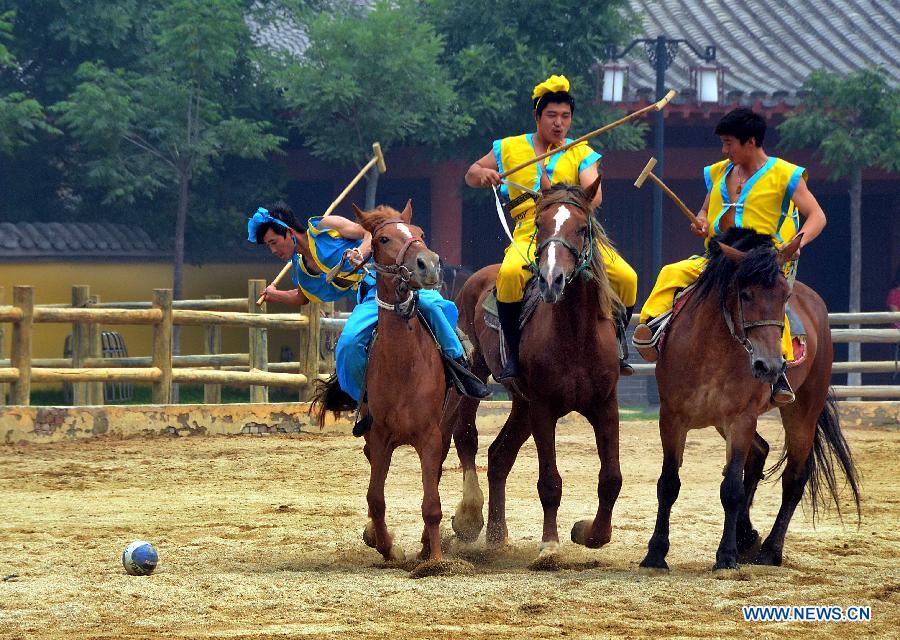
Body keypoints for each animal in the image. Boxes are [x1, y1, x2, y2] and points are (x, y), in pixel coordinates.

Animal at [448, 178, 624, 564]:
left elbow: (611, 479)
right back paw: (469, 515)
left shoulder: (606, 405)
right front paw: (549, 544)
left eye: (580, 228)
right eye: (540, 225)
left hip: (522, 404)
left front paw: (590, 533)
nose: (551, 279)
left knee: (499, 457)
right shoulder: (544, 408)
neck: (576, 334)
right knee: (465, 435)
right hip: (476, 376)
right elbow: (550, 482)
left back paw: (497, 535)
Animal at [640, 228, 864, 572]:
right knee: (759, 455)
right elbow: (668, 483)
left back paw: (770, 550)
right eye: (745, 295)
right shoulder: (672, 417)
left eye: (784, 297)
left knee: (793, 479)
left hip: (803, 410)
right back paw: (748, 536)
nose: (770, 366)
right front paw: (655, 553)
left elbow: (731, 487)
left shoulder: (741, 418)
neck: (709, 351)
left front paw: (726, 555)